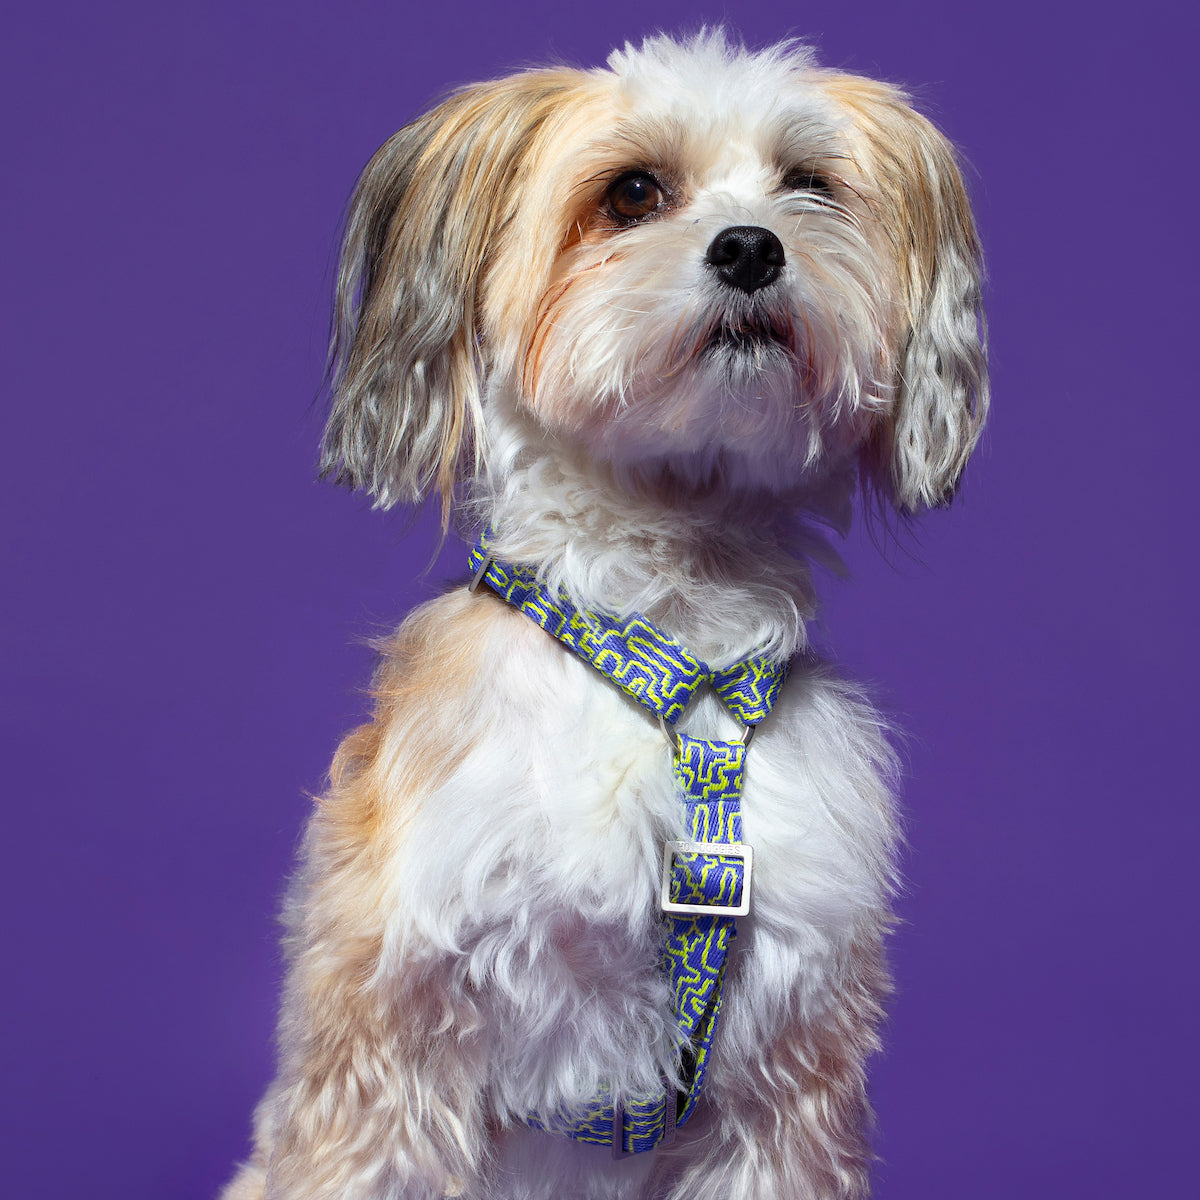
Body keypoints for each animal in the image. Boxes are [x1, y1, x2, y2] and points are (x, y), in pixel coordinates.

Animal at [223, 28, 984, 1200]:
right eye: (632, 193)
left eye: (809, 185)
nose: (753, 248)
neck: (671, 638)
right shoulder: (393, 1050)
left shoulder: (785, 1084)